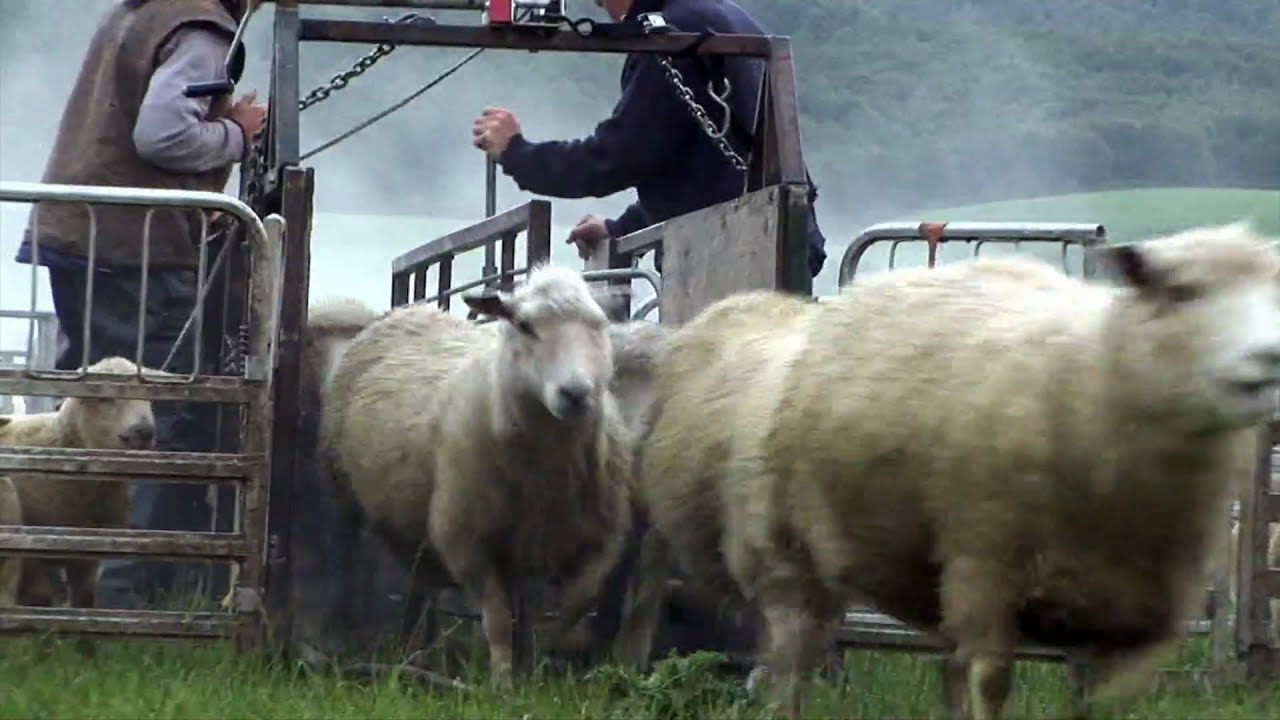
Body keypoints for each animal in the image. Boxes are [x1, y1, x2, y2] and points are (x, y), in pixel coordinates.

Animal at [0, 356, 158, 614]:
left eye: (149, 398)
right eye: (105, 398)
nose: (144, 431)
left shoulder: (87, 549)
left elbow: (84, 597)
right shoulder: (30, 539)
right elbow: (40, 595)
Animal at [321, 263, 634, 688]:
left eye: (599, 324)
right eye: (524, 325)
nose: (575, 394)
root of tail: (409, 309)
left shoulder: (587, 538)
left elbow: (565, 608)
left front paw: (538, 667)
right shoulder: (465, 539)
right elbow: (498, 619)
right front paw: (502, 684)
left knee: (425, 587)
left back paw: (417, 652)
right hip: (346, 492)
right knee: (360, 566)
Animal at [617, 222, 1280, 720]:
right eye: (1184, 291)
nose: (1267, 361)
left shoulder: (1127, 612)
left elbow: (1095, 702)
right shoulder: (988, 564)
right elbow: (991, 680)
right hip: (787, 557)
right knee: (786, 669)